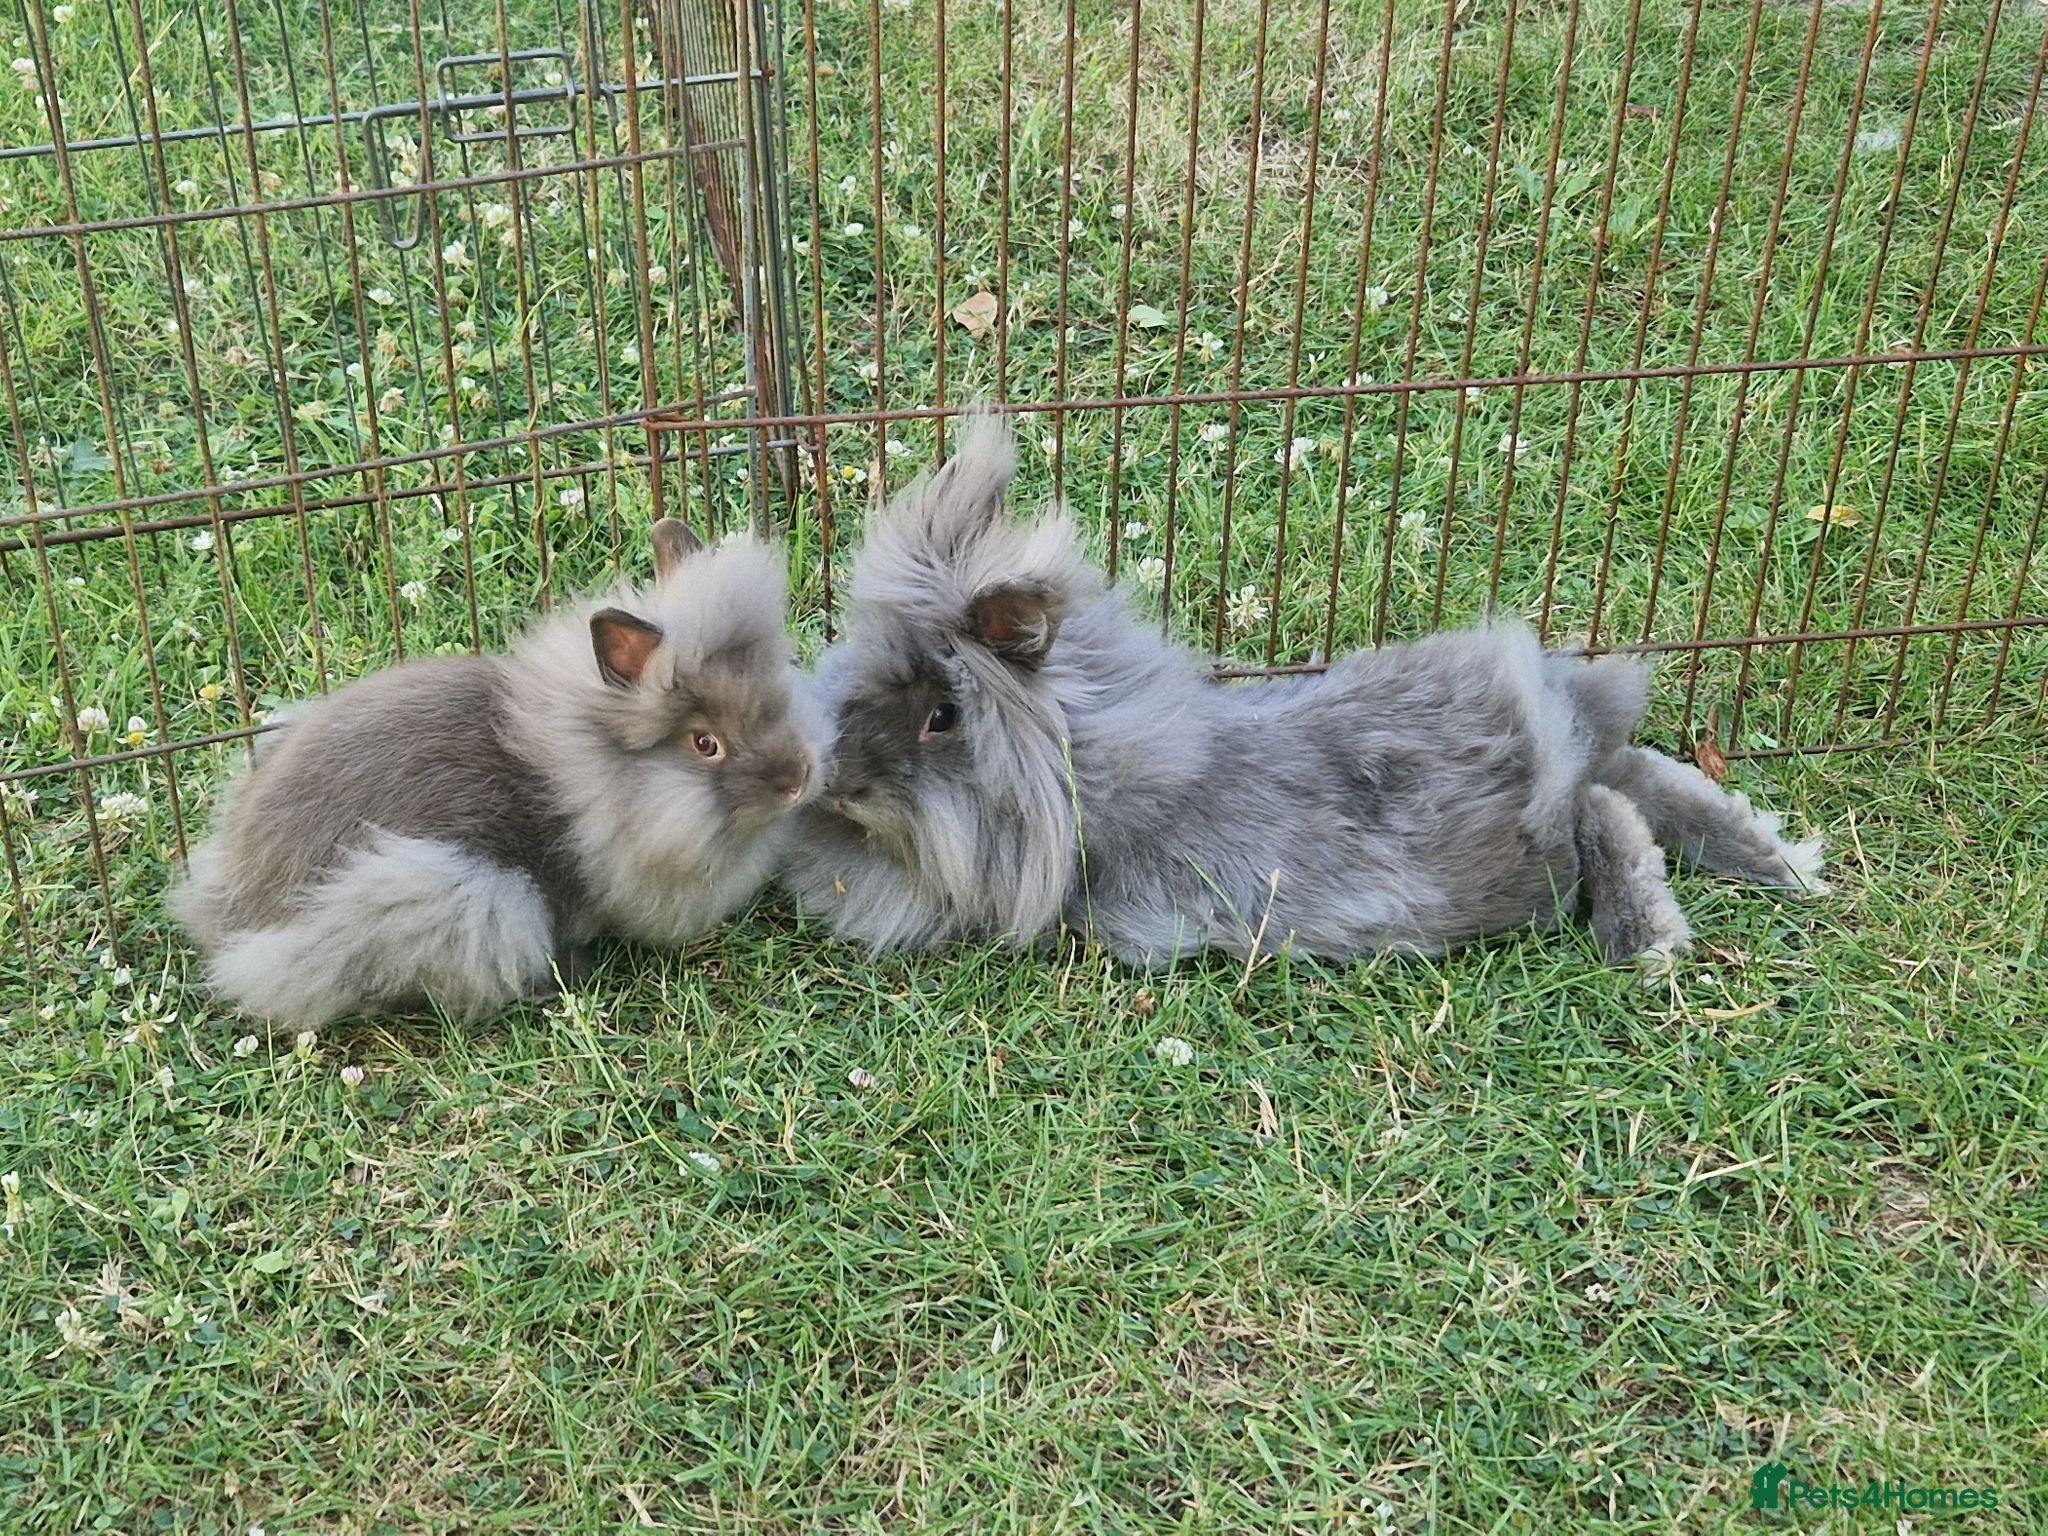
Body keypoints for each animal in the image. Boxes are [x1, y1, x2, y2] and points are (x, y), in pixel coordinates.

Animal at [171, 518, 825, 1028]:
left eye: (780, 689)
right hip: (456, 897)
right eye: (705, 743)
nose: (797, 781)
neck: (590, 776)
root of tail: (231, 916)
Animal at [778, 413, 1825, 970]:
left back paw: (1649, 941)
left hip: (1546, 842)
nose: (840, 783)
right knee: (1639, 776)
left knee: (1608, 808)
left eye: (944, 716)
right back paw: (1783, 865)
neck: (1096, 767)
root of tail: (1552, 710)